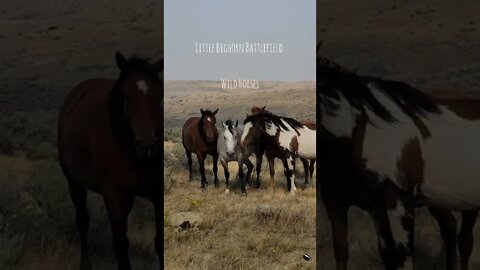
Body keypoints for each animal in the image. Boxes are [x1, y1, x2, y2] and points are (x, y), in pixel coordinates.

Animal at [57, 51, 163, 270]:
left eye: (160, 96)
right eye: (125, 96)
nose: (147, 145)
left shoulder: (158, 195)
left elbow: (159, 242)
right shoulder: (114, 195)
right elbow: (121, 245)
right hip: (75, 183)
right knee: (82, 220)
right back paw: (85, 264)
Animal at [316, 49, 478, 270]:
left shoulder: (399, 203)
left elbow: (403, 257)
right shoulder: (345, 204)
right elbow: (347, 253)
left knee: (465, 240)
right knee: (450, 229)